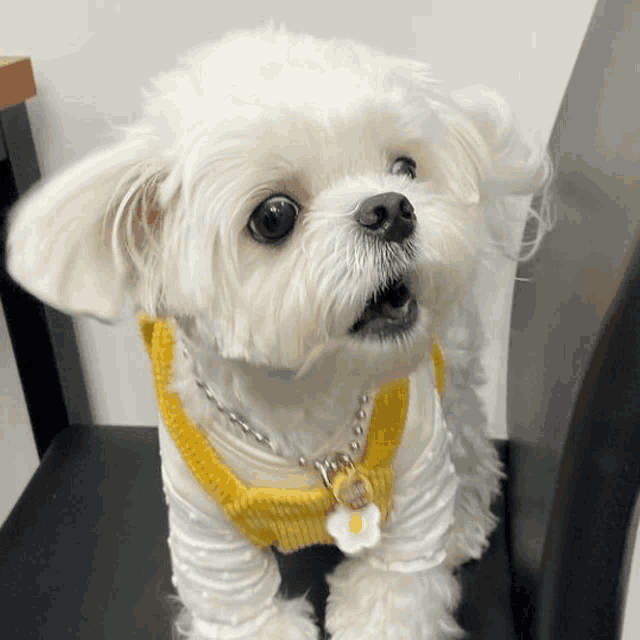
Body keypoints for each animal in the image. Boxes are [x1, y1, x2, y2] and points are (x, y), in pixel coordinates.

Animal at [5, 25, 552, 640]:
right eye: (273, 216)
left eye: (406, 167)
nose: (391, 207)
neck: (307, 412)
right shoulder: (210, 545)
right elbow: (250, 616)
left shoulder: (416, 482)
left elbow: (393, 597)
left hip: (449, 362)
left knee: (471, 440)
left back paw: (465, 522)